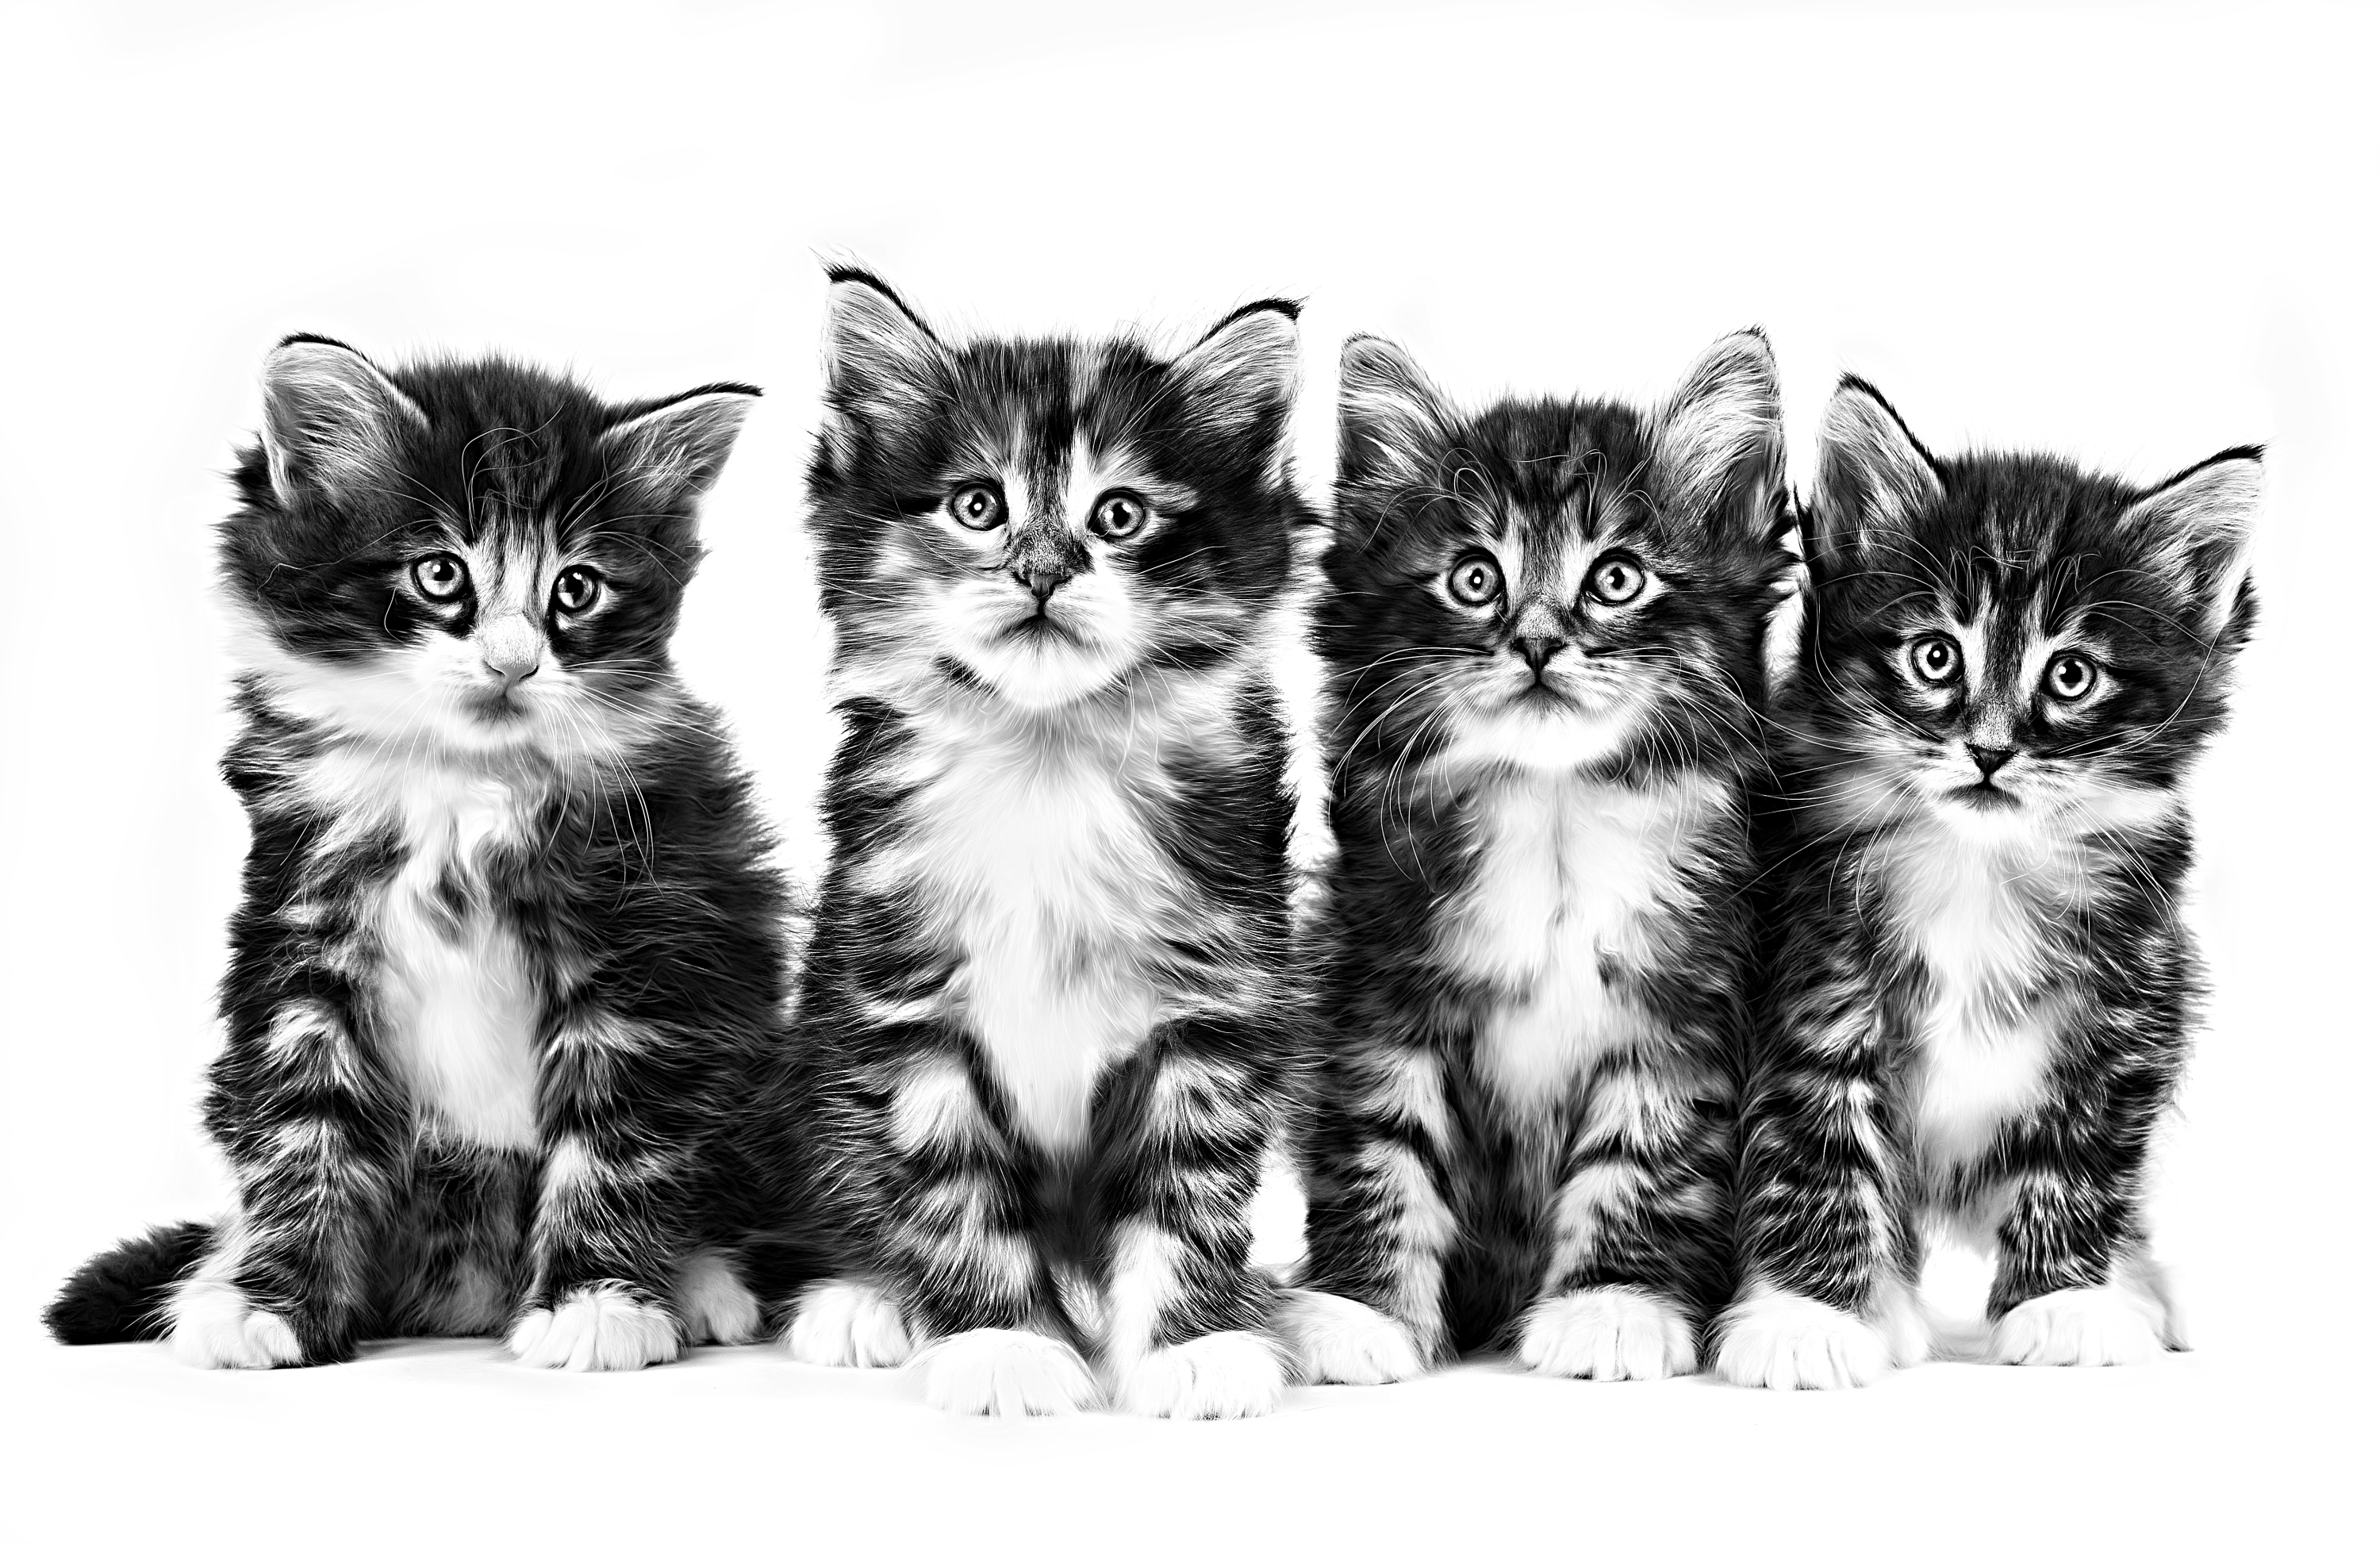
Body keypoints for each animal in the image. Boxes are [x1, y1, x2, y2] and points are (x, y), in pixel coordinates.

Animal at [44, 340, 790, 1370]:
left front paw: (597, 1301)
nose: (514, 662)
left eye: (576, 588)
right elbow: (299, 1126)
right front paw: (270, 1301)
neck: (459, 782)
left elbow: (615, 1136)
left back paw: (702, 1282)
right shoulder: (299, 932)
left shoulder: (649, 946)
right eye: (440, 573)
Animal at [752, 265, 1304, 1408]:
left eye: (1121, 513)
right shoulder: (901, 1003)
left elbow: (1191, 1193)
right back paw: (861, 1300)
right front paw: (1004, 1343)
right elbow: (951, 1190)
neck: (1050, 755)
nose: (1043, 569)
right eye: (978, 505)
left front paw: (1190, 1345)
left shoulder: (1218, 1006)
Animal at [1285, 330, 1790, 1380]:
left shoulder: (1681, 1005)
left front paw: (1612, 1306)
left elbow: (1642, 1155)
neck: (1553, 812)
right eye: (1475, 577)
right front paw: (1359, 1308)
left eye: (1617, 577)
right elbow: (1380, 1147)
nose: (1537, 643)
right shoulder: (1377, 985)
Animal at [1723, 373, 2256, 1389]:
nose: (1991, 750)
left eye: (2072, 674)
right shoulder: (1814, 982)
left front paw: (2065, 1301)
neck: (1978, 867)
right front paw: (1810, 1317)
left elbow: (2081, 1160)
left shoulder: (2136, 1003)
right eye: (1936, 655)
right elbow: (1820, 1151)